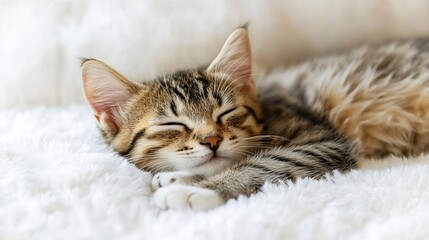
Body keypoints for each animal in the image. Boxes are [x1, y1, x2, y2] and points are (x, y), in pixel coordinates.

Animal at [80, 27, 428, 210]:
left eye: (226, 113)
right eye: (173, 125)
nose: (212, 140)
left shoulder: (323, 142)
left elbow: (262, 164)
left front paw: (195, 190)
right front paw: (180, 177)